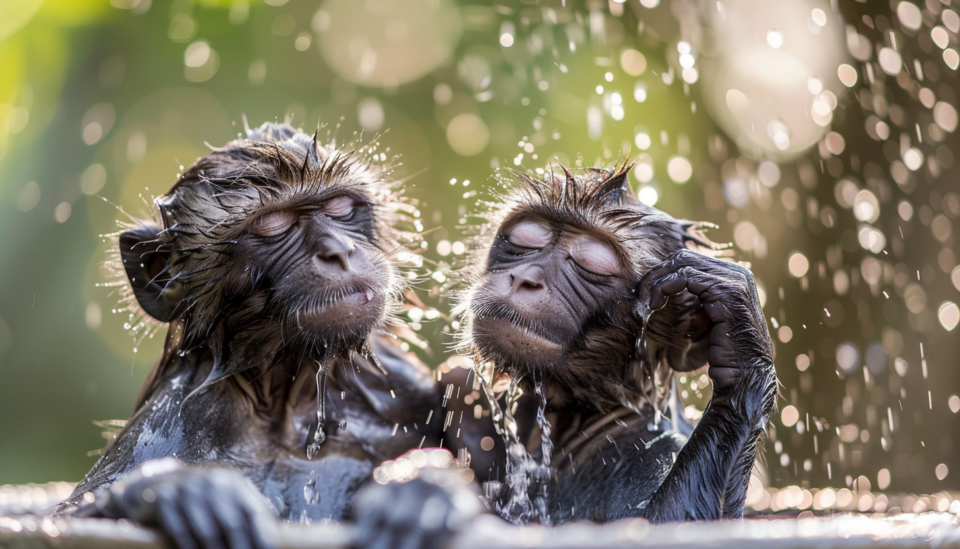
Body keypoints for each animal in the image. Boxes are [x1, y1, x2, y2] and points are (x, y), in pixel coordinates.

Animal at [53, 123, 458, 548]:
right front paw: (180, 490)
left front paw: (420, 493)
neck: (284, 408)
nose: (339, 251)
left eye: (339, 208)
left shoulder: (403, 389)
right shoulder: (162, 426)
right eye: (273, 224)